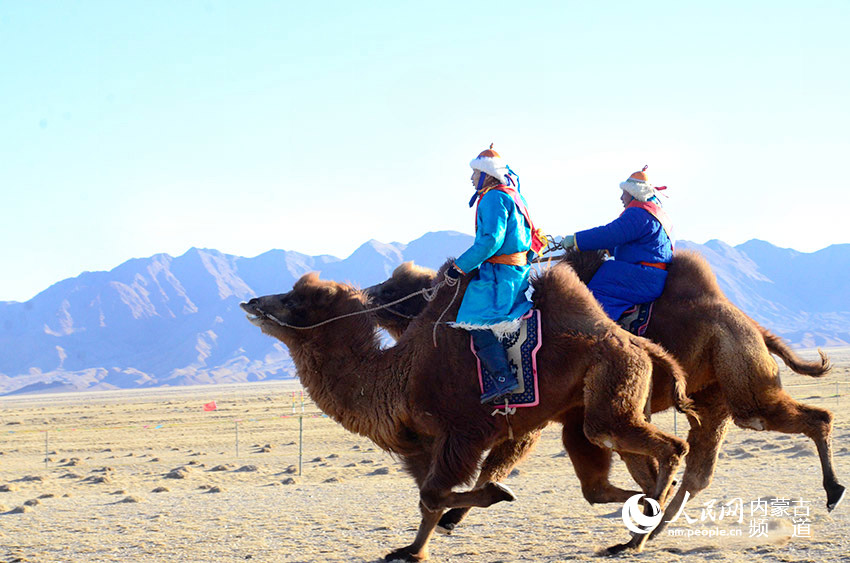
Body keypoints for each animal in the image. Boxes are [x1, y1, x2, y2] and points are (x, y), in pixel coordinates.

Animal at [241, 263, 697, 560]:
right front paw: (411, 550)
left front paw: (497, 494)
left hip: (610, 390)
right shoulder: (422, 445)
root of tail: (636, 342)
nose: (251, 300)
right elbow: (427, 500)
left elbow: (434, 494)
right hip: (586, 409)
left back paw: (637, 536)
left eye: (296, 300)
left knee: (667, 446)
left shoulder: (462, 433)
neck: (398, 377)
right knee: (597, 482)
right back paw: (645, 515)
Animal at [365, 252, 843, 540]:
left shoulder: (533, 414)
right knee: (698, 467)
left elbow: (499, 461)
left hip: (737, 380)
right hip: (713, 396)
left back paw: (834, 491)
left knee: (798, 419)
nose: (366, 294)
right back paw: (658, 526)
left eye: (391, 289)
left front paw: (449, 518)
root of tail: (752, 323)